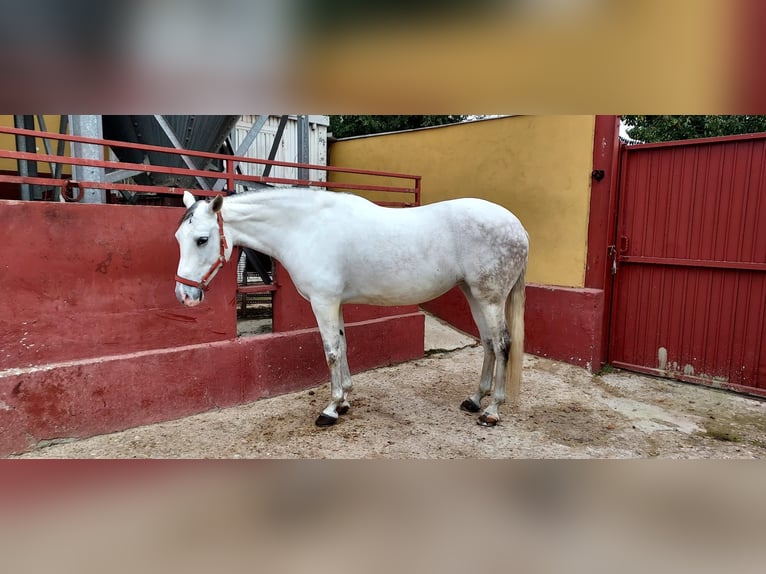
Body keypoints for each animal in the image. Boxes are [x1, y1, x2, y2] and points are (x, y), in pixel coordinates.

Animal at [176, 189, 532, 428]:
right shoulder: (336, 304)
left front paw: (330, 409)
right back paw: (474, 400)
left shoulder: (323, 303)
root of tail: (518, 227)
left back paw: (492, 411)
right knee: (488, 343)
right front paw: (345, 400)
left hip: (490, 299)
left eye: (202, 239)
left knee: (502, 344)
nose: (185, 295)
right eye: (179, 237)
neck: (306, 228)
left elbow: (331, 352)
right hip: (474, 295)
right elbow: (344, 347)